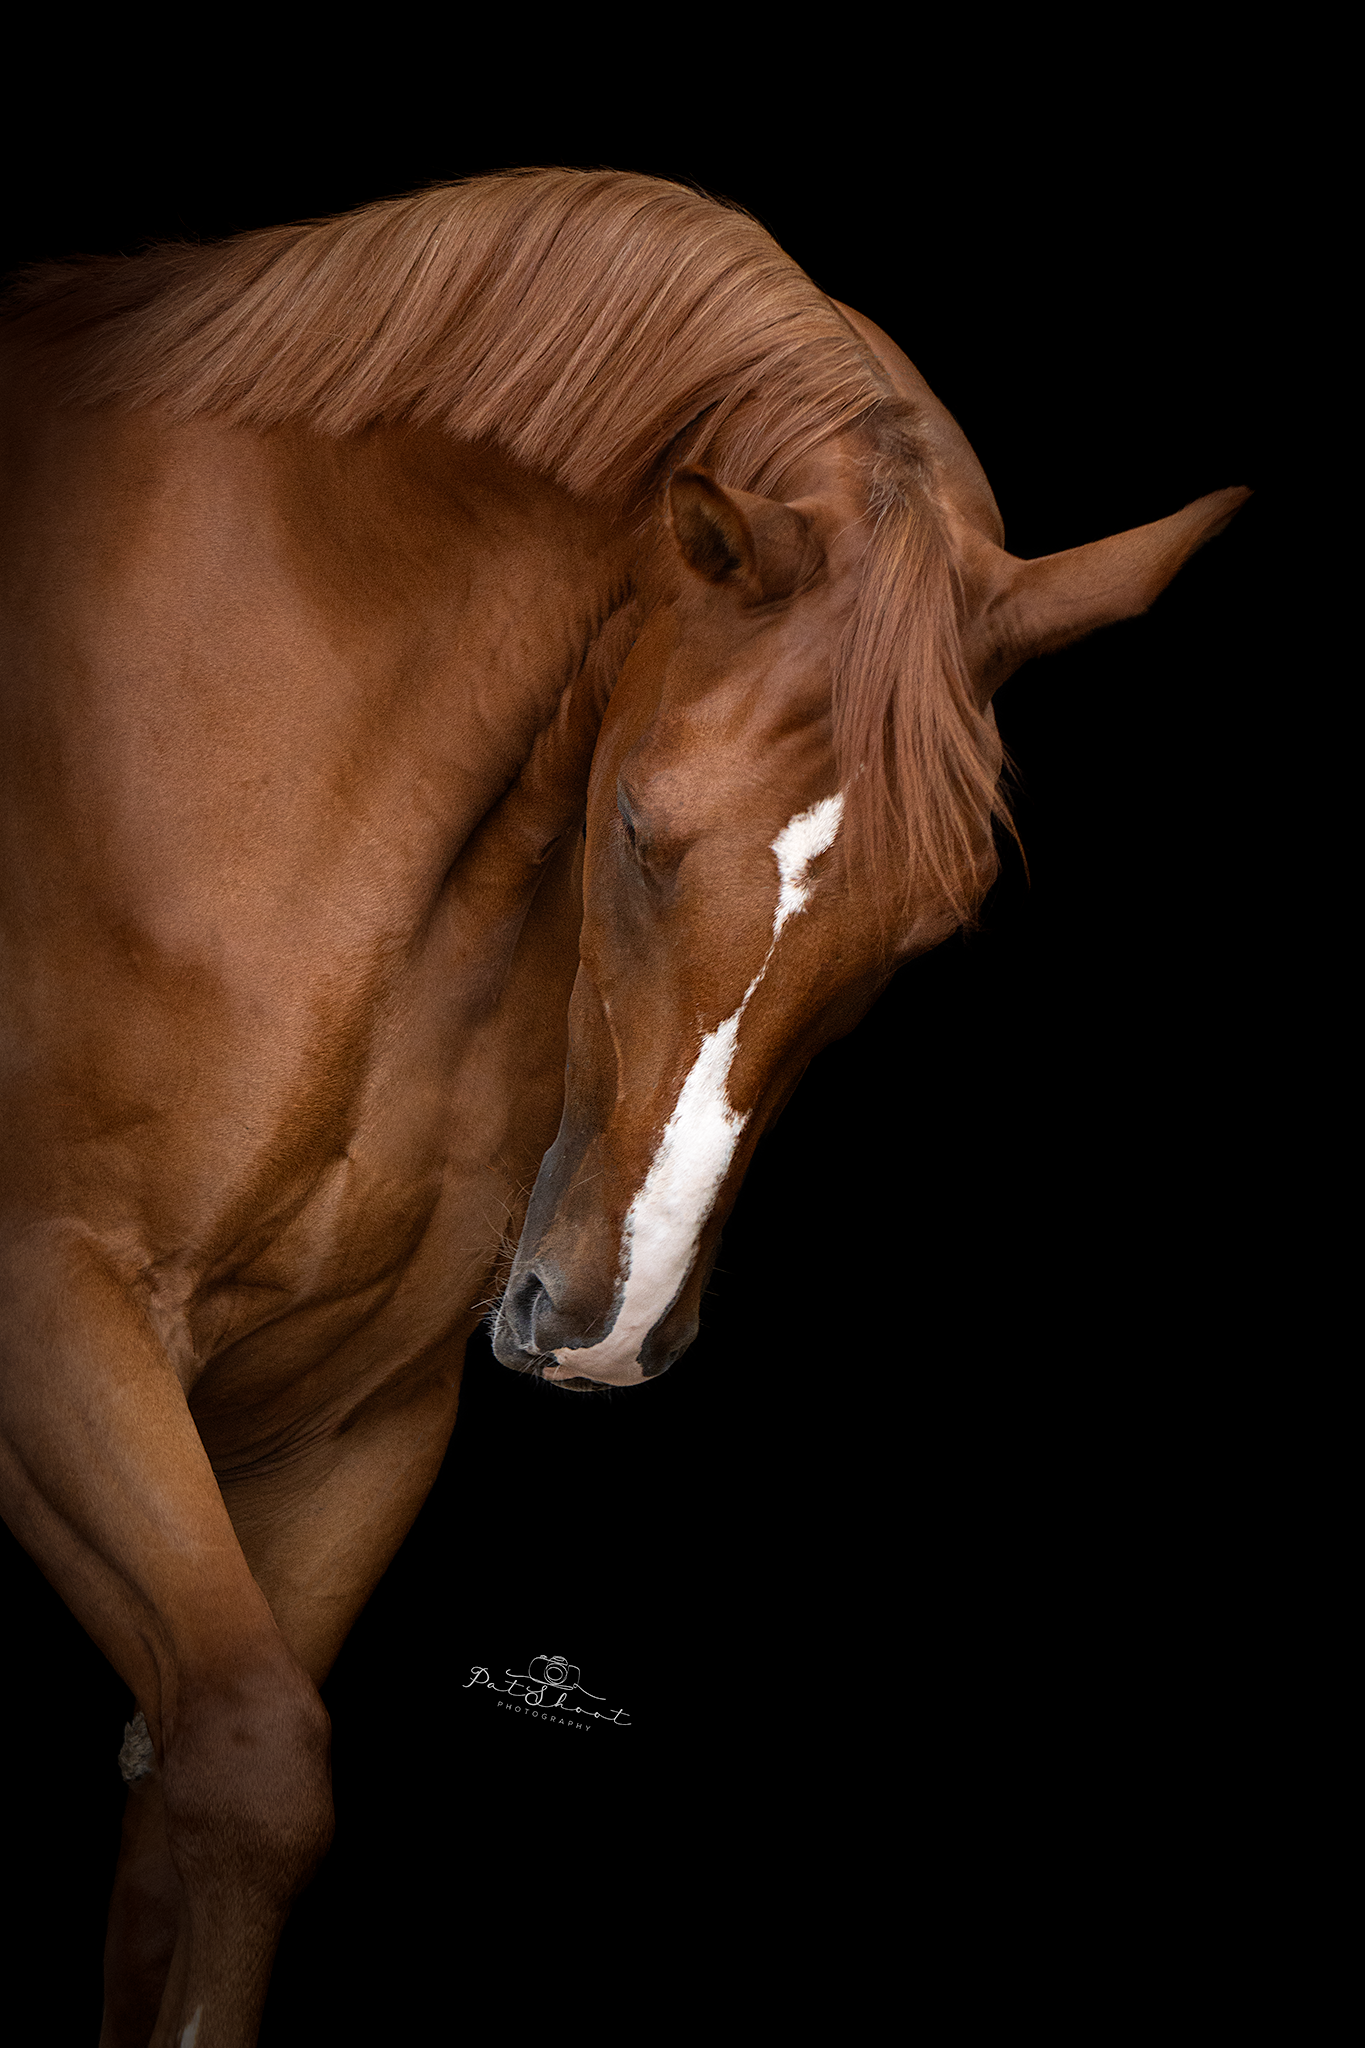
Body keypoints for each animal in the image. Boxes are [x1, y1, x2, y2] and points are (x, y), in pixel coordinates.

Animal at [0, 167, 1247, 2046]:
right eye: (644, 828)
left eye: (934, 924)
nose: (604, 1325)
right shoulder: (54, 1320)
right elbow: (243, 1763)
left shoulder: (352, 1421)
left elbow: (200, 1811)